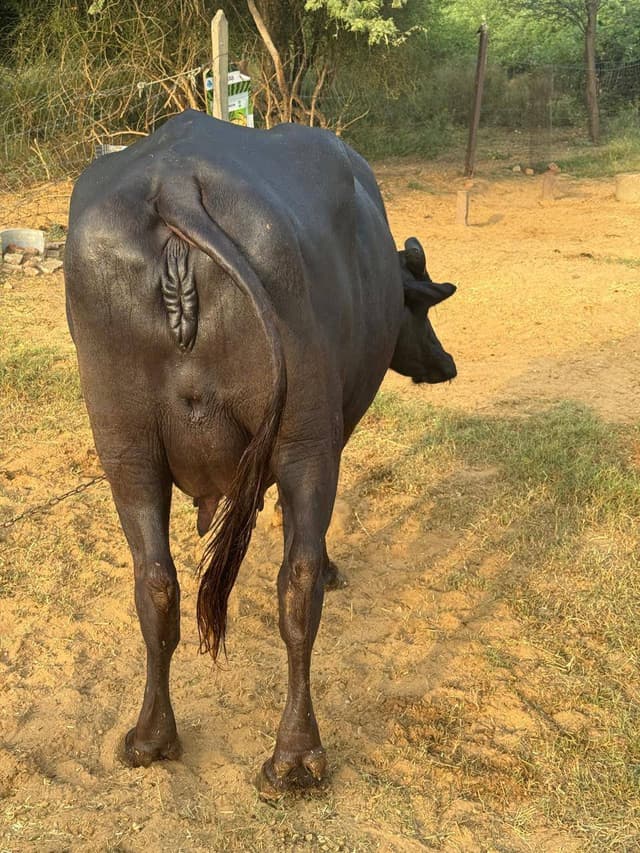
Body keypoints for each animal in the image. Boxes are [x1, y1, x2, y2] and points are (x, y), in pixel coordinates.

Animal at [64, 110, 456, 793]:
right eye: (416, 308)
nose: (445, 363)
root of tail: (176, 186)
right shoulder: (331, 431)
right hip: (304, 442)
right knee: (296, 584)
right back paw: (297, 755)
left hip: (125, 449)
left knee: (155, 581)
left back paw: (150, 738)